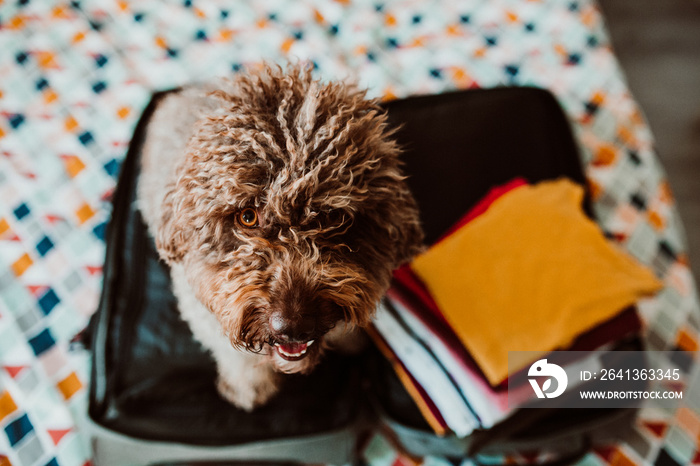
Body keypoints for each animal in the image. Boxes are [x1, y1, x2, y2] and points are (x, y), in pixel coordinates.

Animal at [135, 63, 422, 410]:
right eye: (247, 217)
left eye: (333, 217)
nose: (293, 328)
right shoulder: (204, 312)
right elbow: (237, 357)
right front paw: (250, 389)